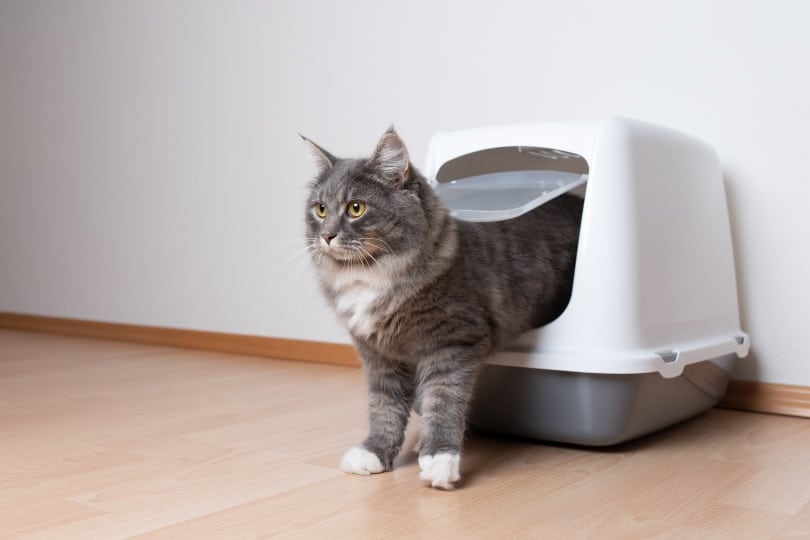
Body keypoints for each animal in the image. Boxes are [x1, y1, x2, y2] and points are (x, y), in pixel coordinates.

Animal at [304, 127, 580, 490]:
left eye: (356, 208)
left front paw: (439, 460)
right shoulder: (378, 355)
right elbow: (384, 407)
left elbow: (442, 402)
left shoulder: (451, 344)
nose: (327, 236)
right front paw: (375, 452)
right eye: (321, 210)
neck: (371, 273)